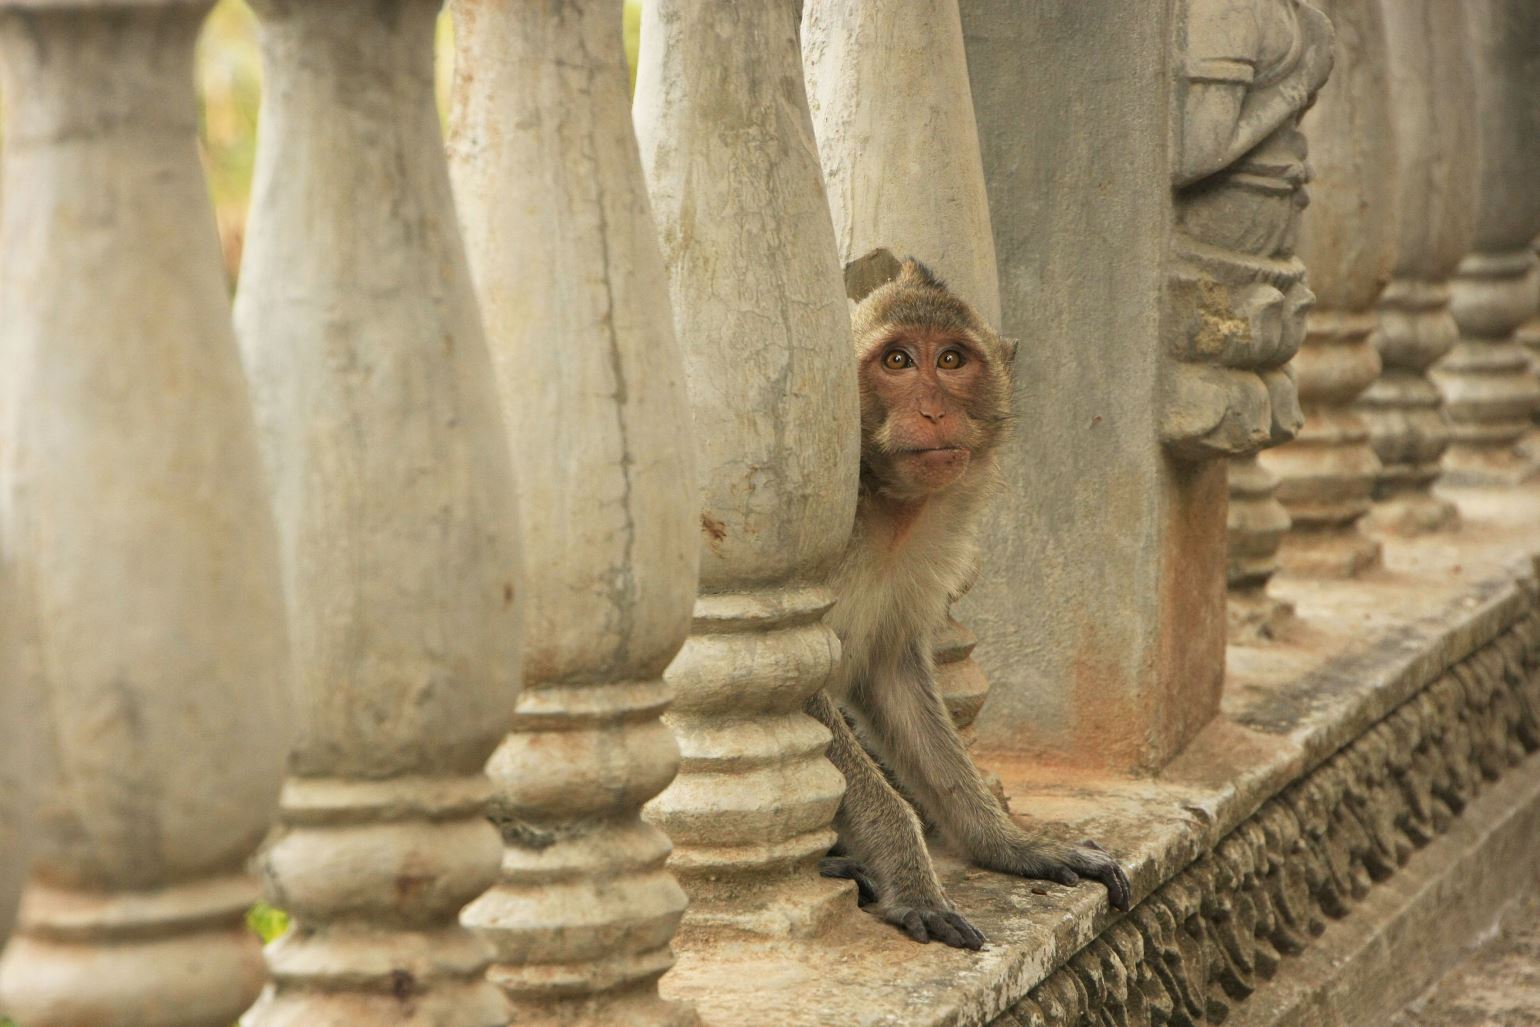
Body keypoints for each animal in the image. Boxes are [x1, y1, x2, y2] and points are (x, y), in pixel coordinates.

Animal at [805, 252, 1132, 950]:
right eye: (898, 361)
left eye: (951, 360)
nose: (933, 412)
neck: (886, 506)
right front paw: (913, 878)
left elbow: (894, 680)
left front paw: (1009, 844)